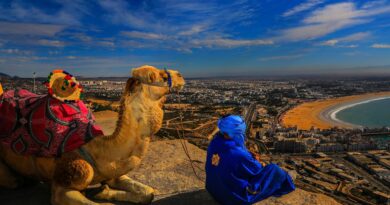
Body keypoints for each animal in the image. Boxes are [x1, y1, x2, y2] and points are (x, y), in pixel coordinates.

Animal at [0, 65, 185, 205]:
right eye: (159, 76)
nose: (181, 75)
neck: (99, 150)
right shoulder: (66, 182)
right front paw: (101, 194)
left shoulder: (113, 172)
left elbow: (148, 192)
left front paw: (104, 191)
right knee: (13, 181)